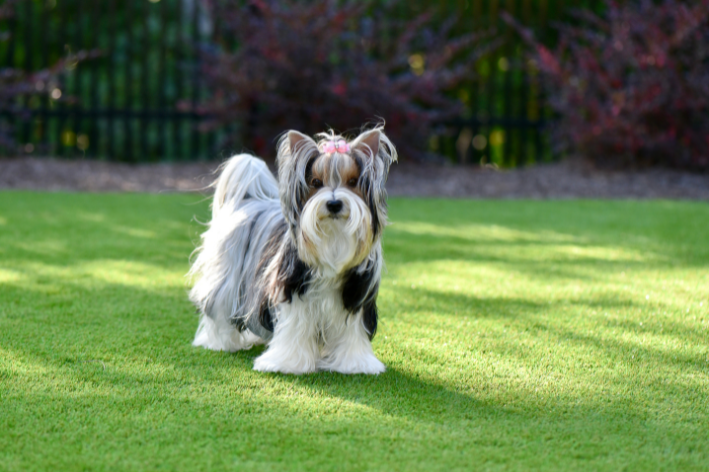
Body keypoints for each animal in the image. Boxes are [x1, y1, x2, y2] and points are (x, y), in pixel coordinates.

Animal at [188, 127, 396, 374]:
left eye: (353, 181)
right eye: (316, 182)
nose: (334, 204)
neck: (333, 238)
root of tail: (247, 200)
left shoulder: (355, 295)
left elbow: (351, 330)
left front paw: (355, 363)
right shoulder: (291, 290)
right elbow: (295, 325)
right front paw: (286, 363)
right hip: (227, 275)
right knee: (218, 306)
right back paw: (219, 342)